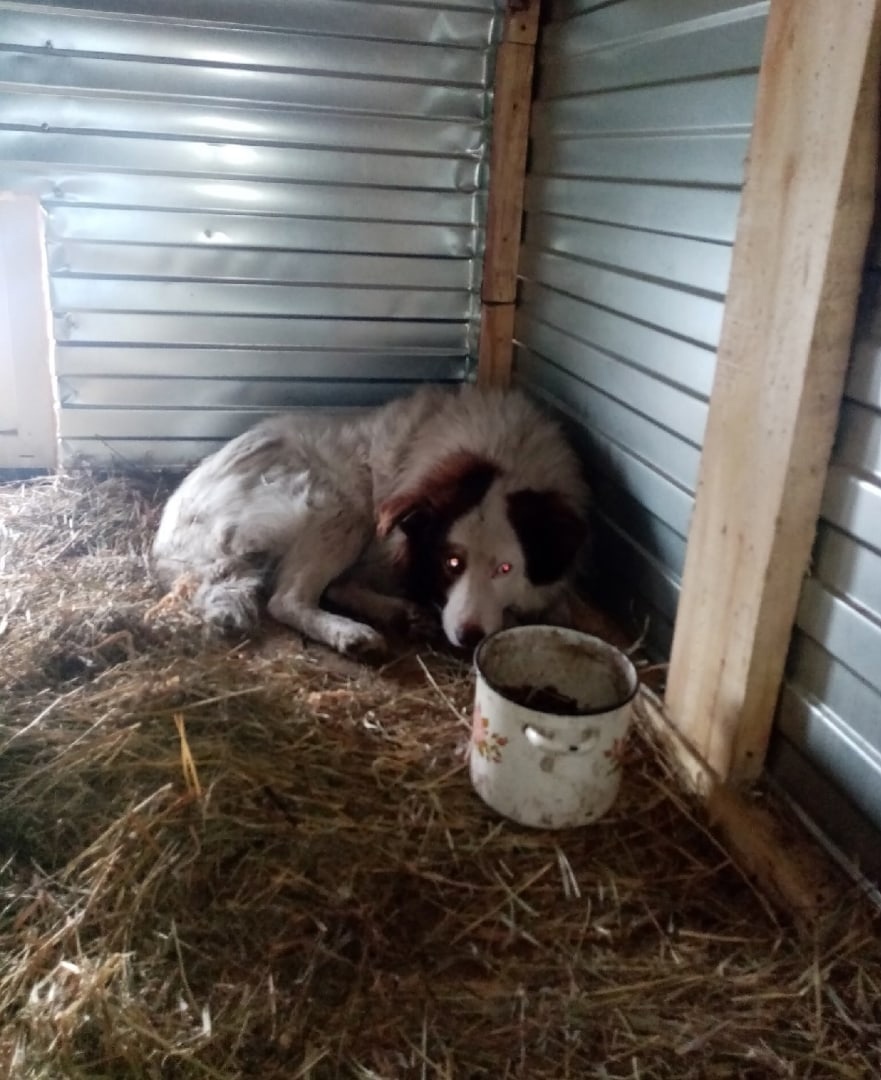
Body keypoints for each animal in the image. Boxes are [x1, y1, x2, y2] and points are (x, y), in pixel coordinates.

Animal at [152, 388, 587, 656]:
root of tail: (172, 535)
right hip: (343, 505)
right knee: (286, 599)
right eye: (451, 564)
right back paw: (350, 633)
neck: (497, 459)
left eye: (506, 569)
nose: (469, 637)